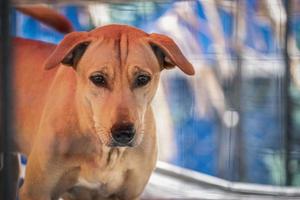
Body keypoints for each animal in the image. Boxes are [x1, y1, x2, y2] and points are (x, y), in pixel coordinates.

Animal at [12, 23, 195, 200]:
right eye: (98, 79)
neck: (105, 153)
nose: (123, 133)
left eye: (143, 78)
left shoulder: (128, 194)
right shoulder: (36, 192)